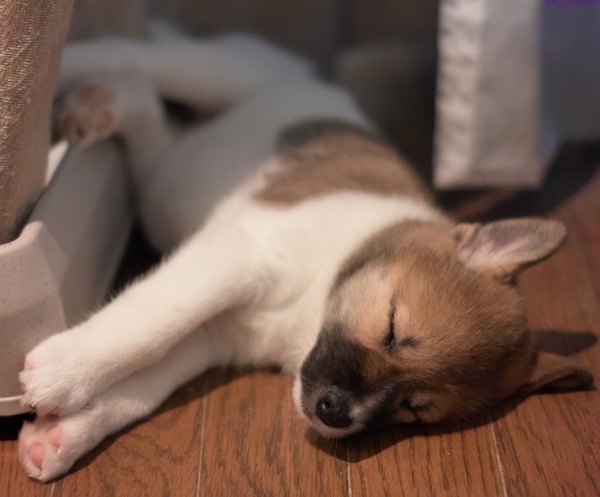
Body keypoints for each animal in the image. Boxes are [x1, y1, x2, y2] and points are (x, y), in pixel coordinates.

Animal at [16, 32, 592, 480]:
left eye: (414, 409)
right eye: (392, 329)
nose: (334, 413)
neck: (313, 302)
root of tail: (316, 77)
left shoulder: (212, 338)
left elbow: (144, 383)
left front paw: (64, 433)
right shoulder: (234, 257)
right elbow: (150, 325)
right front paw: (64, 370)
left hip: (166, 181)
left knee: (150, 119)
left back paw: (100, 107)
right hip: (225, 73)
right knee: (136, 54)